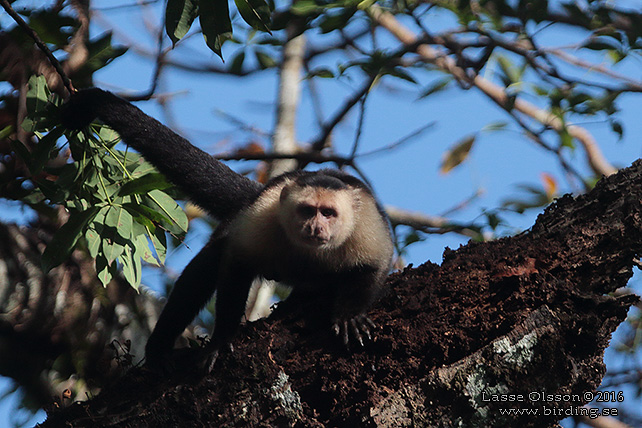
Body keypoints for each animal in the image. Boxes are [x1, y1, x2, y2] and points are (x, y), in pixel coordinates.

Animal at [60, 89, 392, 372]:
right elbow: (236, 260)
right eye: (308, 211)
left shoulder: (366, 226)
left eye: (329, 213)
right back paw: (159, 349)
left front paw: (349, 315)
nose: (315, 226)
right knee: (209, 262)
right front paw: (221, 340)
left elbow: (375, 265)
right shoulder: (264, 218)